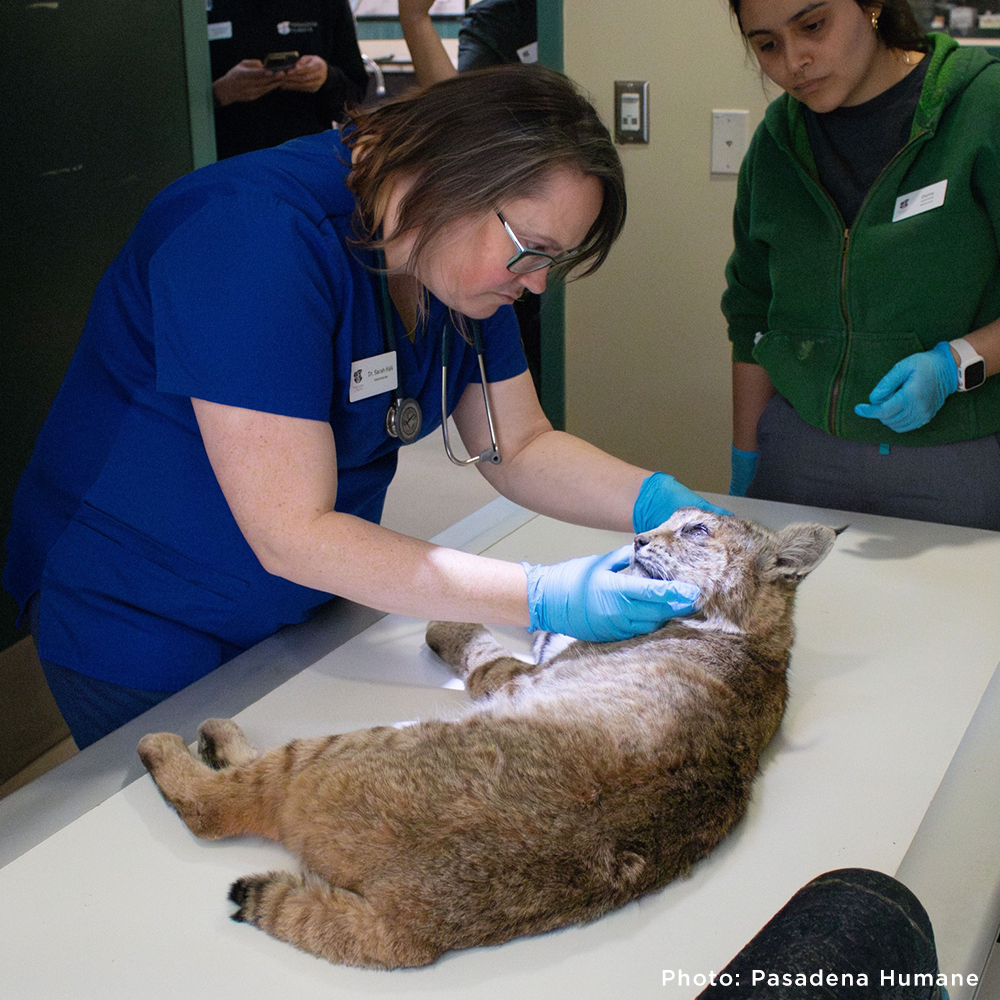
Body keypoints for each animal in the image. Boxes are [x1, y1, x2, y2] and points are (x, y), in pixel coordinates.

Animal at [137, 506, 838, 970]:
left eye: (694, 530)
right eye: (662, 518)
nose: (637, 537)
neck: (762, 635)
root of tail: (418, 926)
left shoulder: (518, 673)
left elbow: (482, 647)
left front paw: (444, 623)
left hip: (342, 749)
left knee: (217, 807)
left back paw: (182, 742)